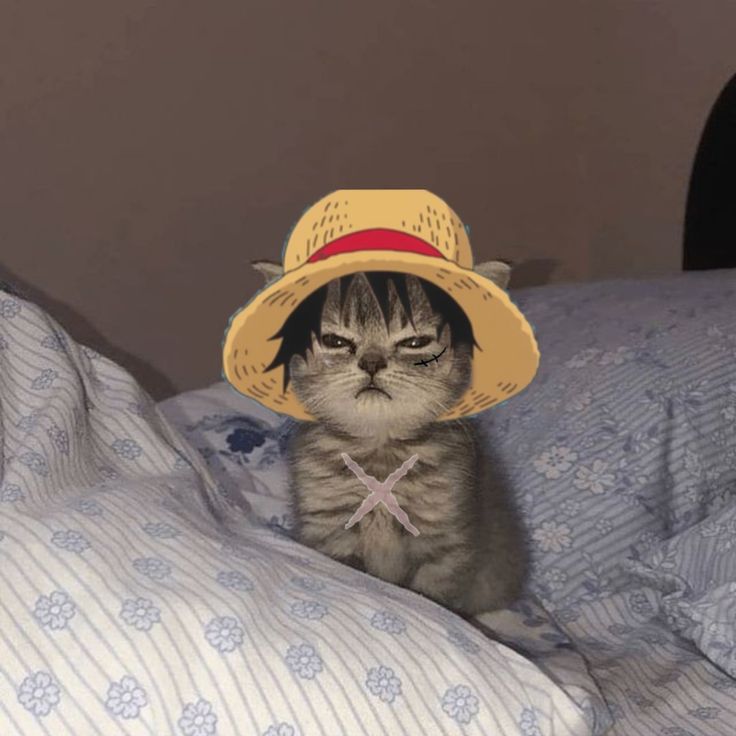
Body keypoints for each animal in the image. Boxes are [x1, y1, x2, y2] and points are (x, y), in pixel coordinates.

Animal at [256, 262, 528, 620]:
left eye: (414, 342)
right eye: (335, 340)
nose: (371, 362)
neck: (380, 450)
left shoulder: (444, 541)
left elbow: (433, 598)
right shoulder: (328, 526)